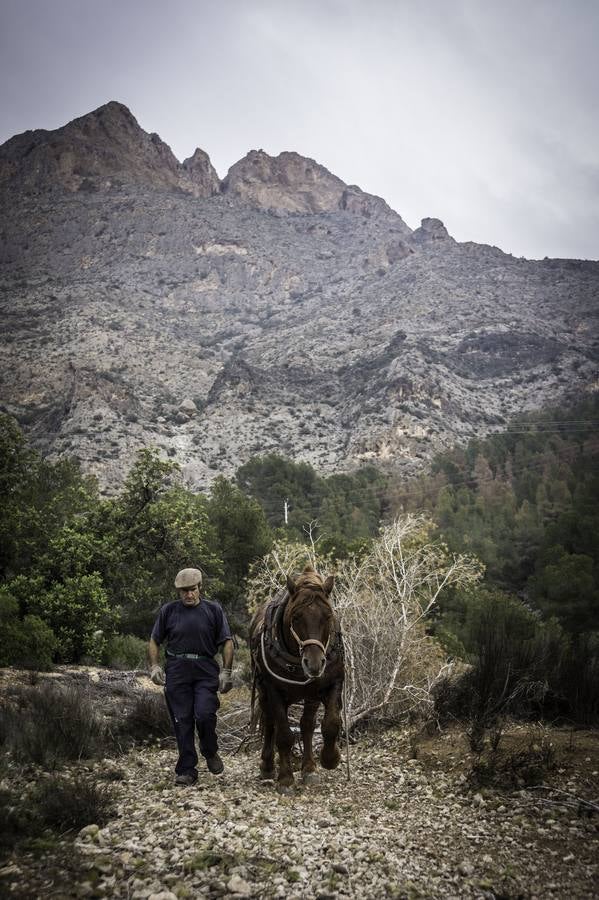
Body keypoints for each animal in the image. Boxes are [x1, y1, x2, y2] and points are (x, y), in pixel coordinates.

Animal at [248, 568, 344, 792]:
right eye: (296, 617)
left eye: (328, 616)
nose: (314, 663)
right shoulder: (273, 690)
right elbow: (283, 734)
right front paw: (285, 778)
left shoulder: (332, 683)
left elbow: (331, 723)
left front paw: (330, 758)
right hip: (263, 692)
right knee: (269, 722)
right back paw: (267, 766)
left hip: (310, 695)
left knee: (306, 725)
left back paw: (309, 768)